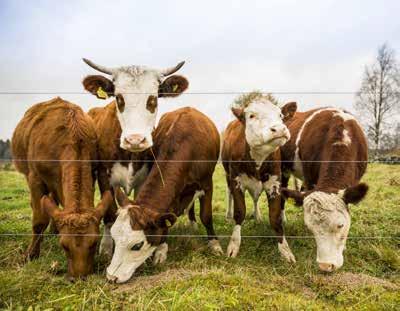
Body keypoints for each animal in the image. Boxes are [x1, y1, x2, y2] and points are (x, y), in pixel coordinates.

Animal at [11, 97, 114, 280]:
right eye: (64, 246)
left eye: (94, 243)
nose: (79, 278)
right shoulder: (35, 178)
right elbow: (39, 220)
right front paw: (31, 255)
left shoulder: (92, 172)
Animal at [106, 108, 223, 286]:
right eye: (113, 237)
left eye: (137, 245)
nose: (111, 277)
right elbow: (166, 218)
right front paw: (161, 249)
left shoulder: (207, 184)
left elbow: (206, 216)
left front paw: (214, 244)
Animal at [220, 96, 298, 262]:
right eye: (251, 116)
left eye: (280, 115)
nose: (279, 129)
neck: (258, 158)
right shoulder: (236, 180)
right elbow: (239, 212)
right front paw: (233, 245)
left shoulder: (274, 182)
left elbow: (275, 218)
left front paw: (285, 250)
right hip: (227, 174)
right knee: (229, 194)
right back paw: (228, 215)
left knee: (255, 199)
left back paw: (258, 216)